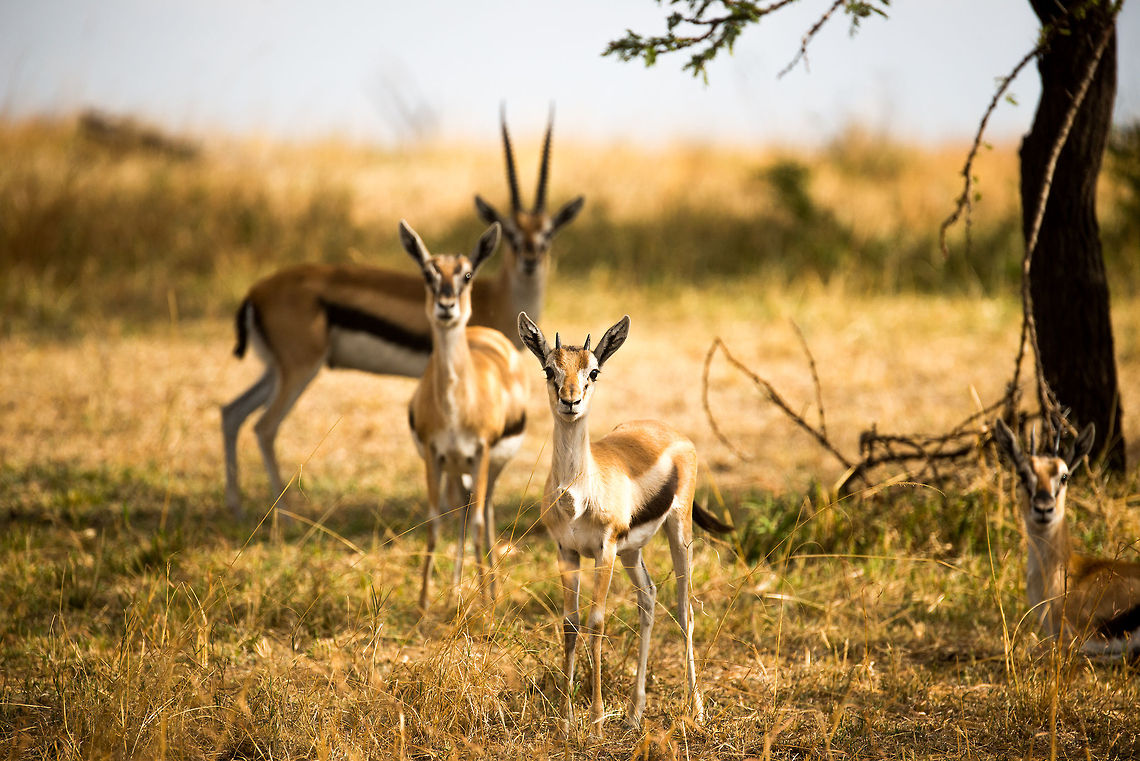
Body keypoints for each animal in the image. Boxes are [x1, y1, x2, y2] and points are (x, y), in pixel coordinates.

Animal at [220, 108, 584, 514]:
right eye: (511, 232)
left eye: (548, 233)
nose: (530, 261)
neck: (497, 299)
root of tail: (255, 293)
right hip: (299, 371)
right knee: (264, 427)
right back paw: (285, 515)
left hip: (276, 370)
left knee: (232, 413)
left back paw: (236, 507)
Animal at [402, 220, 528, 612]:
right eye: (428, 274)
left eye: (467, 274)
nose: (447, 307)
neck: (457, 406)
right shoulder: (434, 453)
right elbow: (434, 522)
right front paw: (424, 602)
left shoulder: (482, 452)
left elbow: (477, 524)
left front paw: (487, 604)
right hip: (457, 468)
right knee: (461, 510)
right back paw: (458, 589)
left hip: (489, 466)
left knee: (484, 512)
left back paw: (492, 592)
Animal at [517, 312, 732, 733]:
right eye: (549, 369)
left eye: (593, 371)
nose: (570, 401)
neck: (579, 492)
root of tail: (674, 434)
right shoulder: (567, 551)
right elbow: (571, 624)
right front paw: (566, 719)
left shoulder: (605, 549)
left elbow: (597, 621)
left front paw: (597, 718)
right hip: (632, 551)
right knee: (648, 597)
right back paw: (634, 712)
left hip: (678, 533)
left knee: (684, 609)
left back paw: (696, 710)